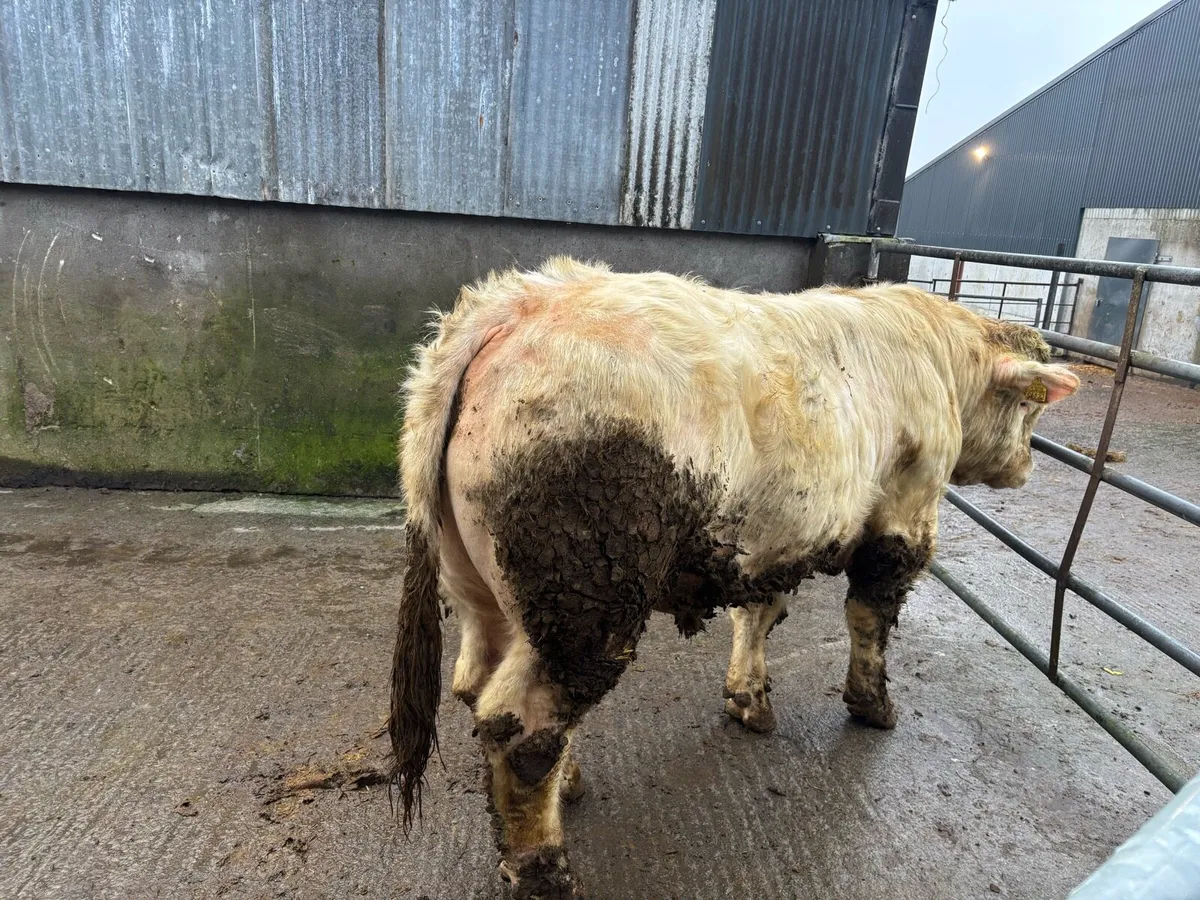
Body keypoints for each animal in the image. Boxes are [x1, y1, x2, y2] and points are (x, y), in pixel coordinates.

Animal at [389, 258, 1079, 898]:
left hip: (481, 586)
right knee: (522, 721)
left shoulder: (773, 539)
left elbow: (759, 615)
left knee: (478, 681)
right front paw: (873, 706)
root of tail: (512, 305)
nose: (1026, 466)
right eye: (1029, 406)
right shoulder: (903, 515)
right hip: (585, 598)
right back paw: (545, 872)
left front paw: (749, 699)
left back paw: (570, 781)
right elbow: (870, 616)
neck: (936, 359)